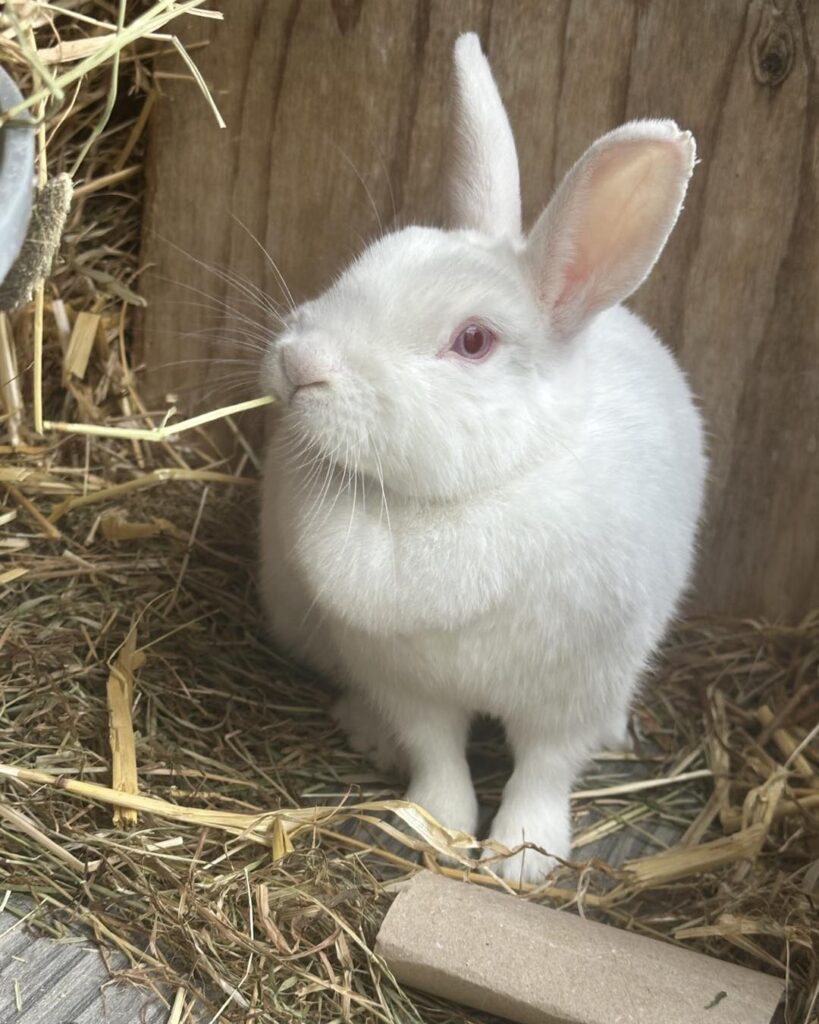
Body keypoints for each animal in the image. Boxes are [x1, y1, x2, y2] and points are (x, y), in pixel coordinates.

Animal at [258, 32, 706, 884]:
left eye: (473, 341)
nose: (300, 364)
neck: (466, 496)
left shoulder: (571, 688)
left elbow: (544, 768)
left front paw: (521, 859)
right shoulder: (403, 679)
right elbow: (438, 756)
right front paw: (429, 827)